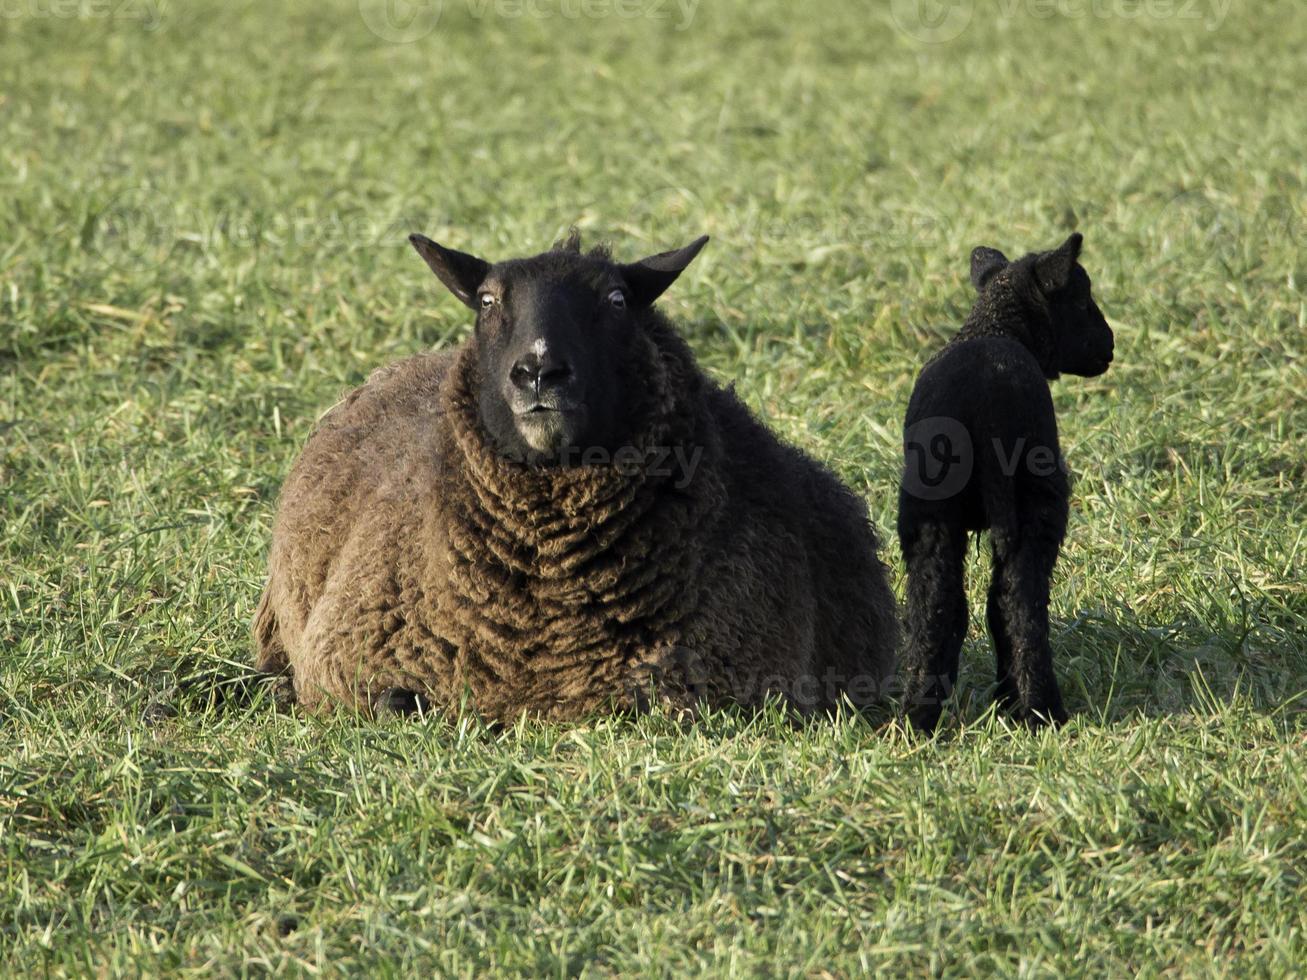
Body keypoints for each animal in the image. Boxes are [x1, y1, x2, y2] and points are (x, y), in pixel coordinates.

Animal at [899, 233, 1113, 731]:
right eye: (1082, 298)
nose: (1110, 345)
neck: (995, 327)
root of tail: (989, 406)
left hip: (930, 505)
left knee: (936, 601)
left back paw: (919, 714)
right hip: (1039, 496)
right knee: (1018, 601)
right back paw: (1040, 708)